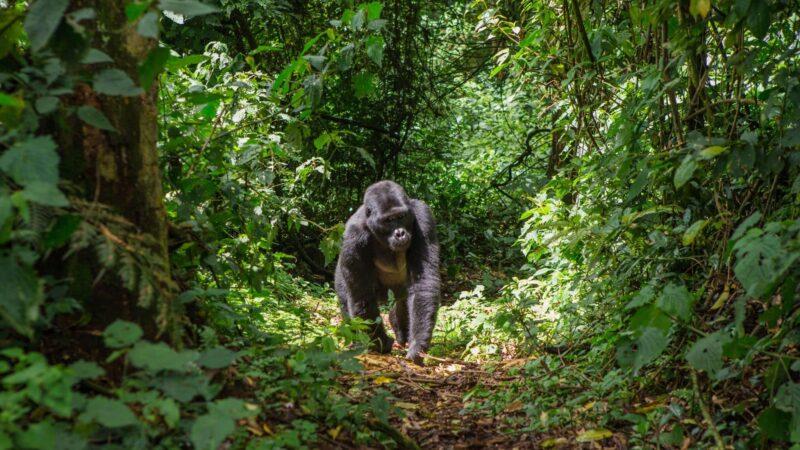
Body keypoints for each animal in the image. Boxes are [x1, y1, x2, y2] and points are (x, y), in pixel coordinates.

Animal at [334, 181, 440, 364]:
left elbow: (423, 283)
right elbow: (362, 296)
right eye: (388, 220)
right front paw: (381, 343)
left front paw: (417, 344)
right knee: (346, 299)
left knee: (403, 301)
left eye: (401, 216)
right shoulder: (354, 236)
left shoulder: (423, 216)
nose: (400, 233)